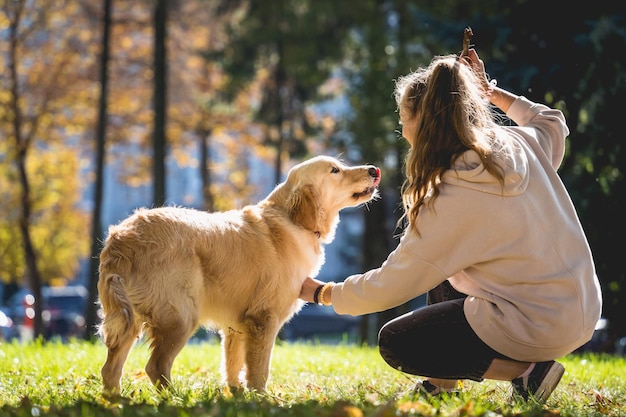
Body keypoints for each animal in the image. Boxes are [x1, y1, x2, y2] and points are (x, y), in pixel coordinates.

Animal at [97, 154, 380, 394]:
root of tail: (123, 238)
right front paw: (263, 399)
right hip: (181, 316)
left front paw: (237, 395)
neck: (291, 219)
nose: (374, 170)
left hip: (131, 319)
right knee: (156, 366)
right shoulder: (264, 319)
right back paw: (174, 399)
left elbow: (233, 366)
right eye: (335, 170)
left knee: (110, 370)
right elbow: (259, 369)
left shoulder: (236, 326)